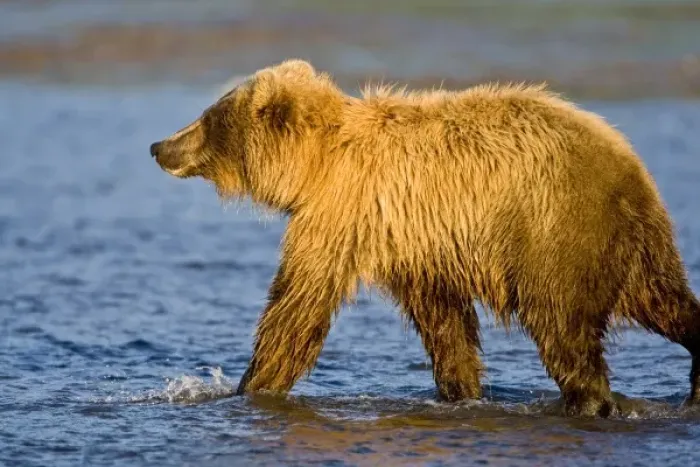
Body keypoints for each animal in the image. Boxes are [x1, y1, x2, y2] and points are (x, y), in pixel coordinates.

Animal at [150, 59, 700, 417]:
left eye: (208, 119)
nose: (159, 146)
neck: (315, 166)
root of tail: (627, 166)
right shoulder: (415, 239)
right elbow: (444, 322)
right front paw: (462, 391)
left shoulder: (340, 214)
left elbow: (298, 306)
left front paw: (245, 387)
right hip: (634, 242)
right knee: (666, 300)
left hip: (557, 229)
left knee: (562, 322)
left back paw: (591, 400)